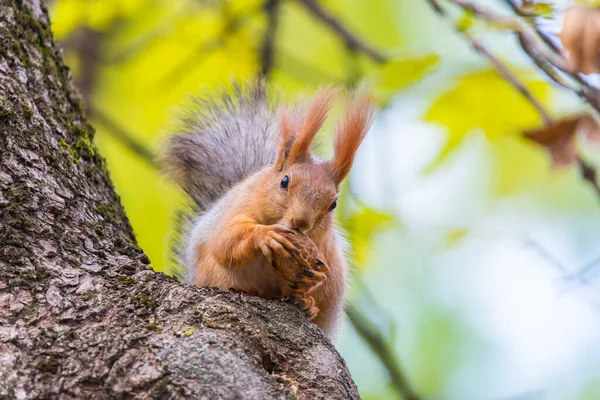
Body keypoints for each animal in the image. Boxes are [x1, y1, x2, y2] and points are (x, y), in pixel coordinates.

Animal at [162, 83, 372, 338]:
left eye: (333, 204)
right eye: (284, 181)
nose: (301, 223)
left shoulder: (324, 249)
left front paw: (310, 286)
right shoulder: (235, 210)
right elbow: (226, 240)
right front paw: (265, 235)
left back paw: (305, 305)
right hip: (213, 272)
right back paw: (250, 290)